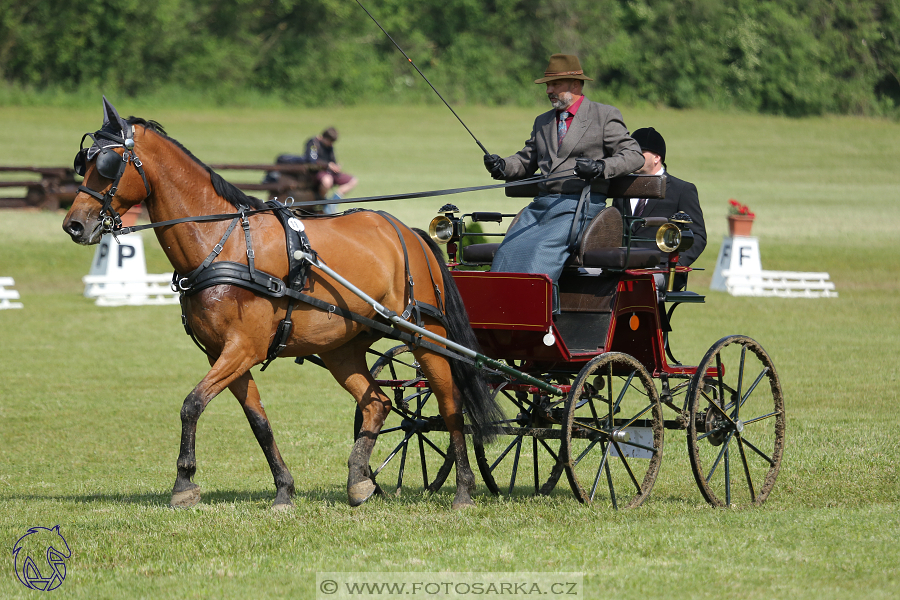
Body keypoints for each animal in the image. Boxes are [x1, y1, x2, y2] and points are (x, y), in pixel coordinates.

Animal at [60, 98, 502, 510]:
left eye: (108, 163)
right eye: (84, 162)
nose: (74, 225)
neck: (223, 243)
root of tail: (408, 233)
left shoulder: (243, 348)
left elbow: (191, 404)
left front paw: (184, 483)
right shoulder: (223, 354)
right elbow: (258, 421)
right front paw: (284, 489)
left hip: (426, 335)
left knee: (450, 404)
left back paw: (464, 488)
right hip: (343, 347)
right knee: (376, 402)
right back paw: (359, 482)